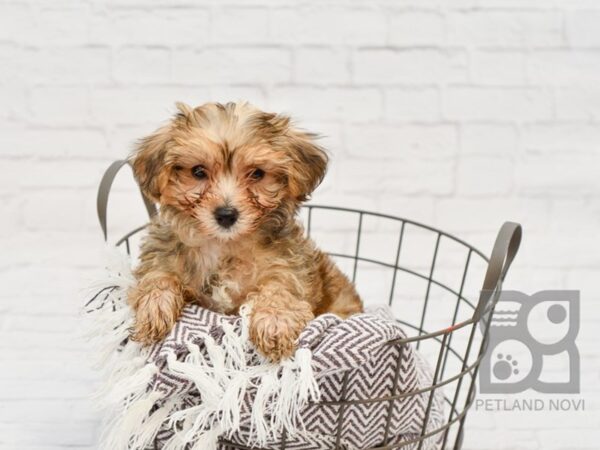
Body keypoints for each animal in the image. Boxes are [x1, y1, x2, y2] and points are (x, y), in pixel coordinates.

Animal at [127, 102, 360, 362]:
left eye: (257, 173)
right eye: (198, 172)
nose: (226, 215)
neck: (224, 245)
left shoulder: (288, 265)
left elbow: (281, 287)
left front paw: (275, 320)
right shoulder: (163, 254)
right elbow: (158, 275)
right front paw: (154, 308)